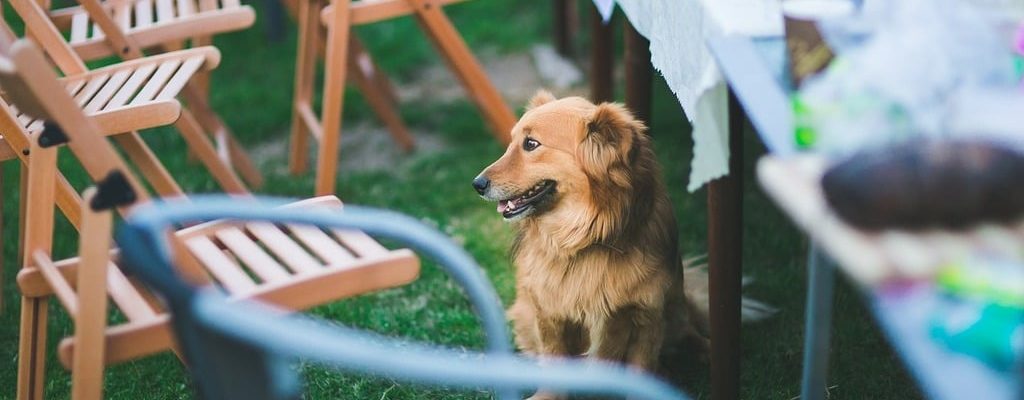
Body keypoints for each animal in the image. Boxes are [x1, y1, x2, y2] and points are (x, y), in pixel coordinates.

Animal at [471, 91, 712, 396]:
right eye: (513, 142)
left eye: (531, 144)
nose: (477, 184)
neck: (585, 237)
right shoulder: (550, 313)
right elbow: (554, 360)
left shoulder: (647, 316)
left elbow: (642, 367)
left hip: (675, 308)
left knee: (687, 330)